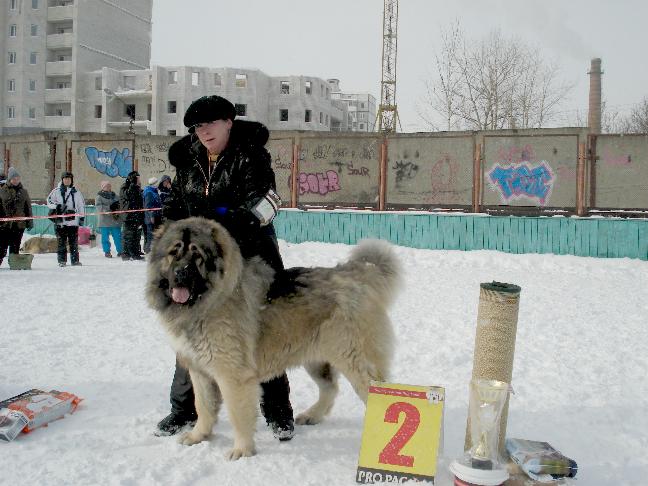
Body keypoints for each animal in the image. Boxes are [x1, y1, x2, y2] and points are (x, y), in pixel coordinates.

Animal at [147, 216, 400, 460]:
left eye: (197, 254)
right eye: (173, 252)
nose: (180, 273)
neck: (208, 302)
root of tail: (353, 275)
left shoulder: (233, 377)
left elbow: (238, 415)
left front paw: (242, 450)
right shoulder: (199, 371)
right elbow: (204, 406)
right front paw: (199, 436)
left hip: (354, 361)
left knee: (378, 394)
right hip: (317, 359)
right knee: (330, 388)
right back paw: (312, 415)